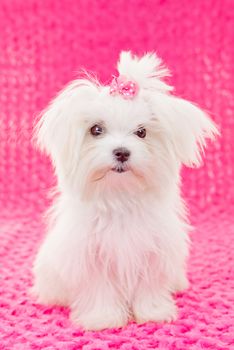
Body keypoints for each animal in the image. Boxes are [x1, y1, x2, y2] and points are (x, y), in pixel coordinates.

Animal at [32, 50, 218, 330]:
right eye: (96, 129)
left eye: (141, 132)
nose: (121, 152)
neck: (120, 197)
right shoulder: (91, 257)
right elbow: (100, 289)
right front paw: (103, 318)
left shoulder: (154, 251)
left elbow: (150, 287)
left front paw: (153, 313)